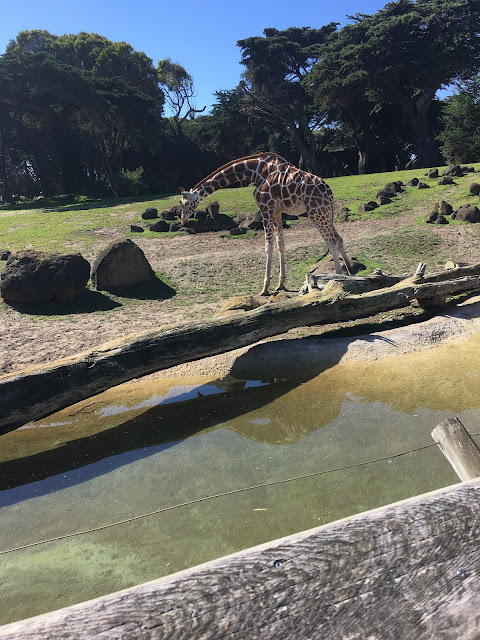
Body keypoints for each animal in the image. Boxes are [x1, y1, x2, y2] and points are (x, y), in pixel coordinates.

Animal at [180, 152, 352, 296]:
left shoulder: (265, 208)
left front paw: (265, 288)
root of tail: (329, 192)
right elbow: (280, 243)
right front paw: (280, 284)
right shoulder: (277, 212)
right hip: (327, 214)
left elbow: (268, 247)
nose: (182, 220)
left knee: (331, 241)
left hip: (316, 213)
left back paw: (336, 279)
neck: (255, 171)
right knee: (339, 238)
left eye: (185, 203)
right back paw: (350, 274)